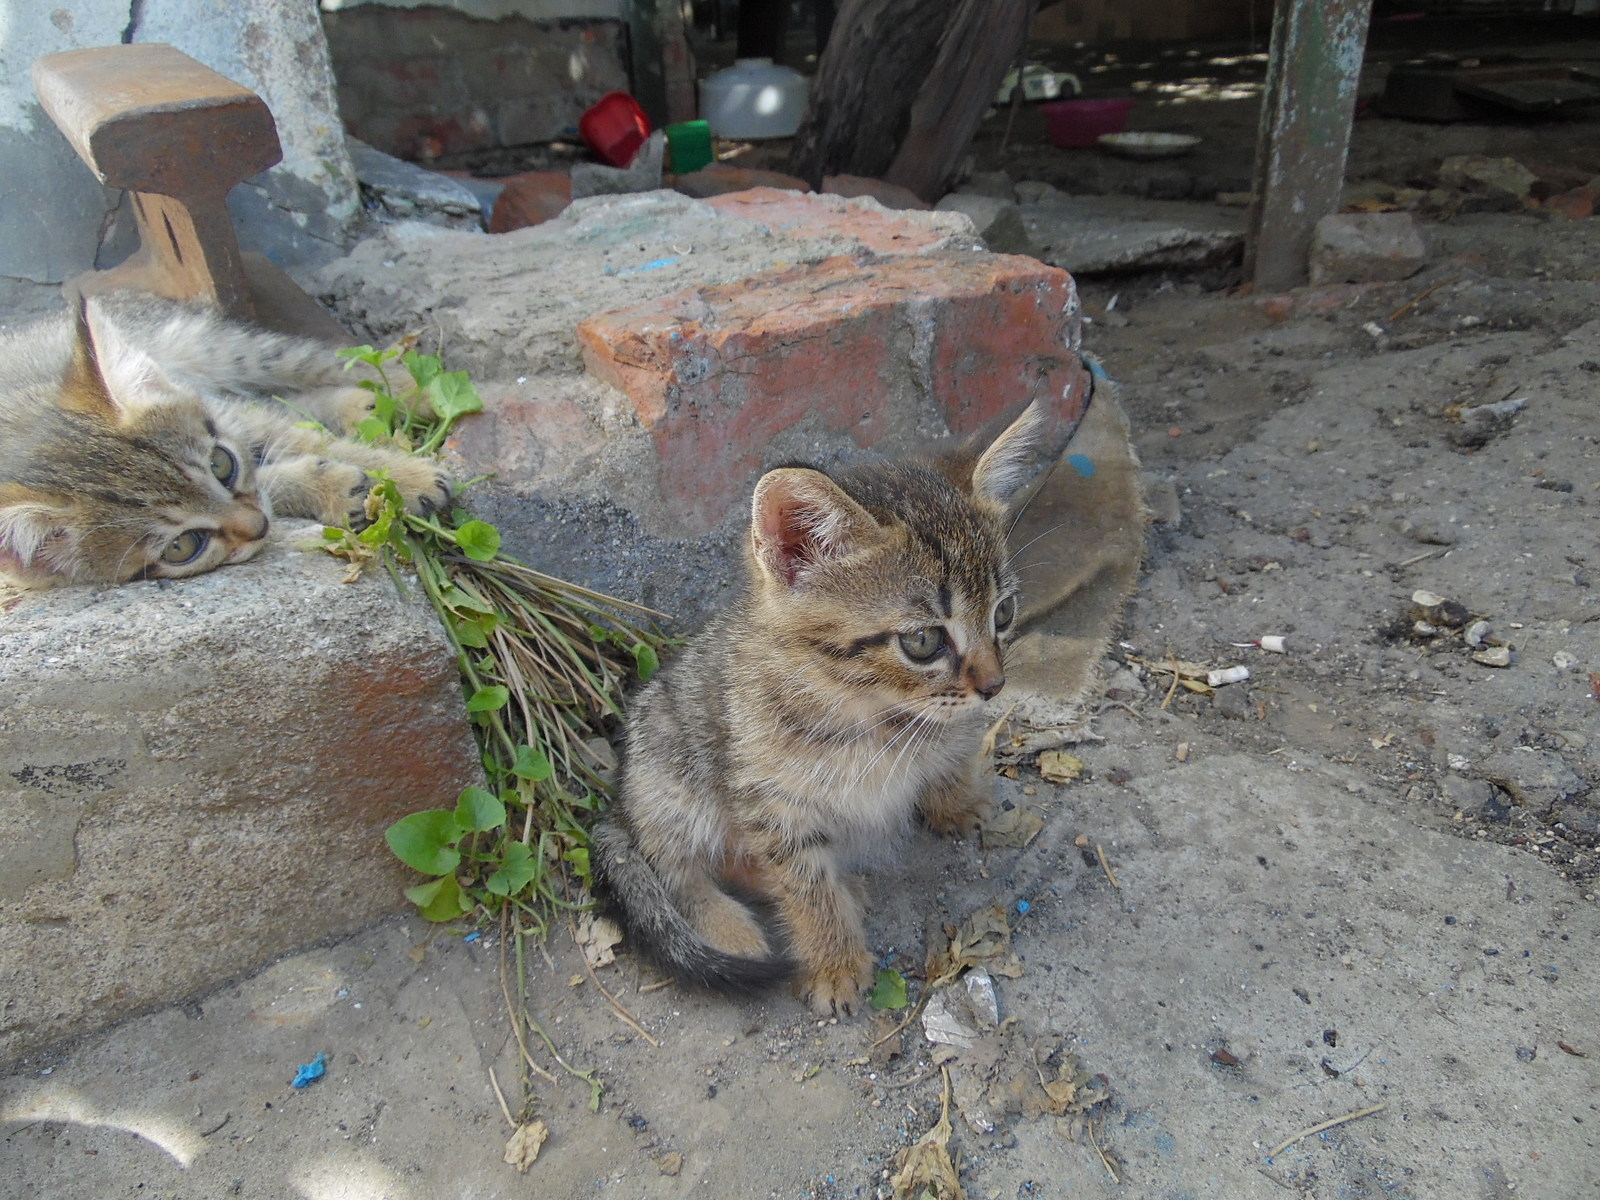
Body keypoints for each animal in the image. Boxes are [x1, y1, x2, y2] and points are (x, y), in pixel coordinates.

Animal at [0, 294, 451, 588]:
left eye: (221, 464)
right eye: (182, 547)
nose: (261, 527)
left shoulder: (232, 419)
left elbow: (307, 441)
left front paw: (407, 477)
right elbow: (280, 468)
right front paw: (336, 489)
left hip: (220, 348)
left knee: (335, 365)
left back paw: (421, 393)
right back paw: (361, 407)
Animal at [595, 401, 1043, 1017]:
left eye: (1004, 613)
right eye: (923, 641)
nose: (996, 686)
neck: (873, 714)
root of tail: (622, 799)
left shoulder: (949, 723)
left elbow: (951, 749)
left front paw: (958, 799)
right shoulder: (769, 800)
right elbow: (803, 883)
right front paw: (833, 962)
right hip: (671, 779)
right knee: (676, 868)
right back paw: (733, 928)